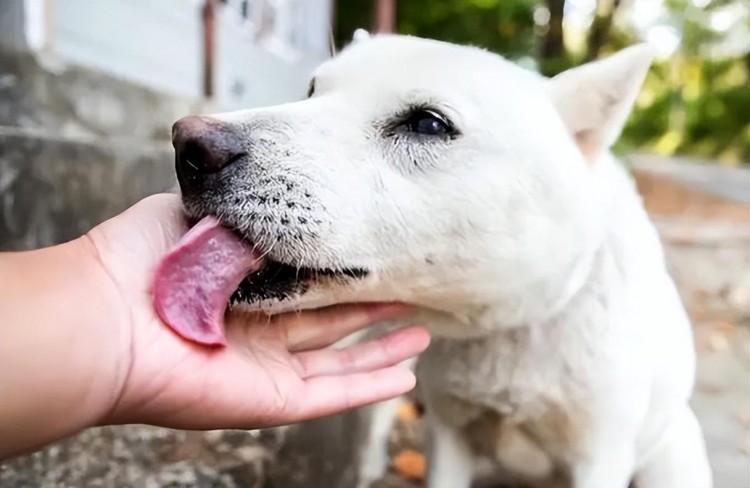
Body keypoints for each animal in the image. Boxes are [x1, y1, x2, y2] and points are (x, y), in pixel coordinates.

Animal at [167, 32, 712, 486]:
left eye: (429, 124)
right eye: (312, 90)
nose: (188, 146)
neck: (505, 327)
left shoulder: (600, 454)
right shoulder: (449, 436)